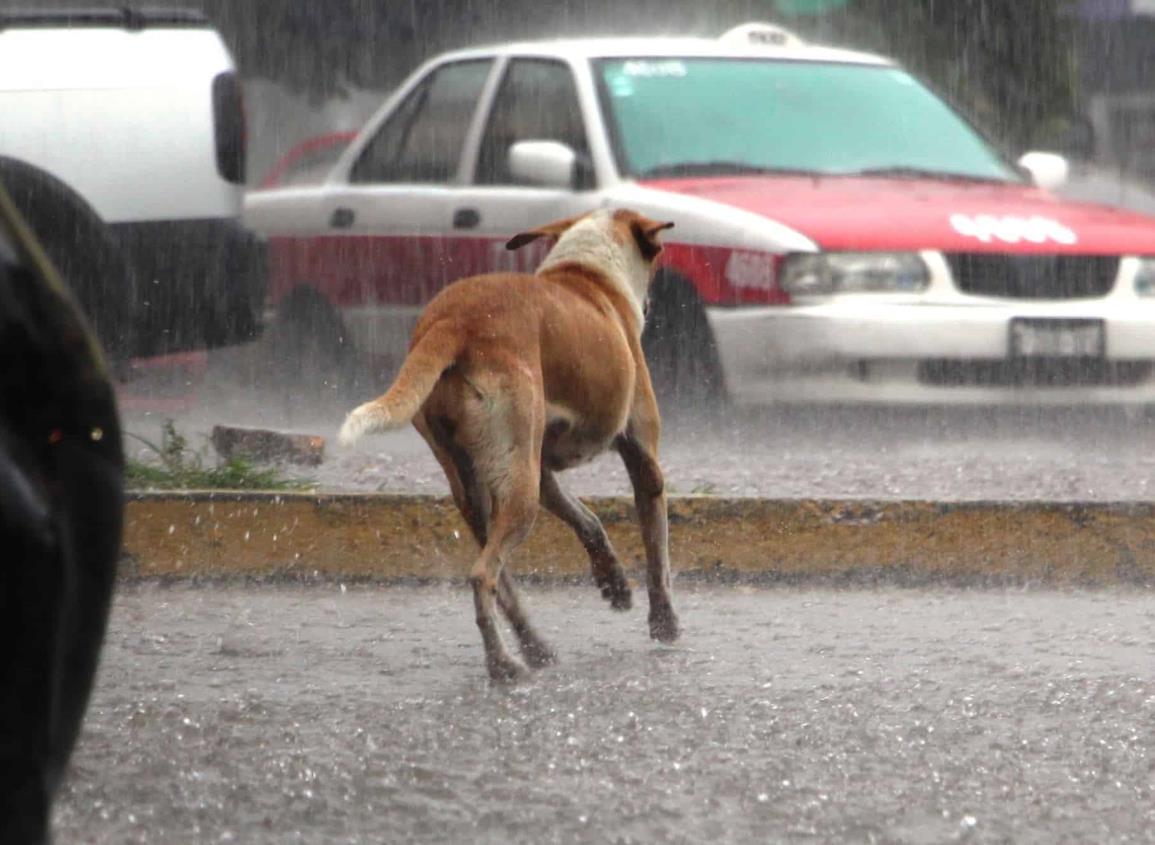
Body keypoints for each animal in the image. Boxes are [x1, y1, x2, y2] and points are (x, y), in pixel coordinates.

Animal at [334, 207, 674, 683]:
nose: (646, 308)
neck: (588, 274)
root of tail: (454, 322)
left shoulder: (543, 471)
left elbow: (587, 520)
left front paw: (614, 583)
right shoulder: (643, 459)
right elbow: (657, 551)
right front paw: (665, 624)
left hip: (480, 485)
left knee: (503, 581)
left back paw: (534, 649)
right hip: (518, 492)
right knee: (482, 576)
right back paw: (502, 664)